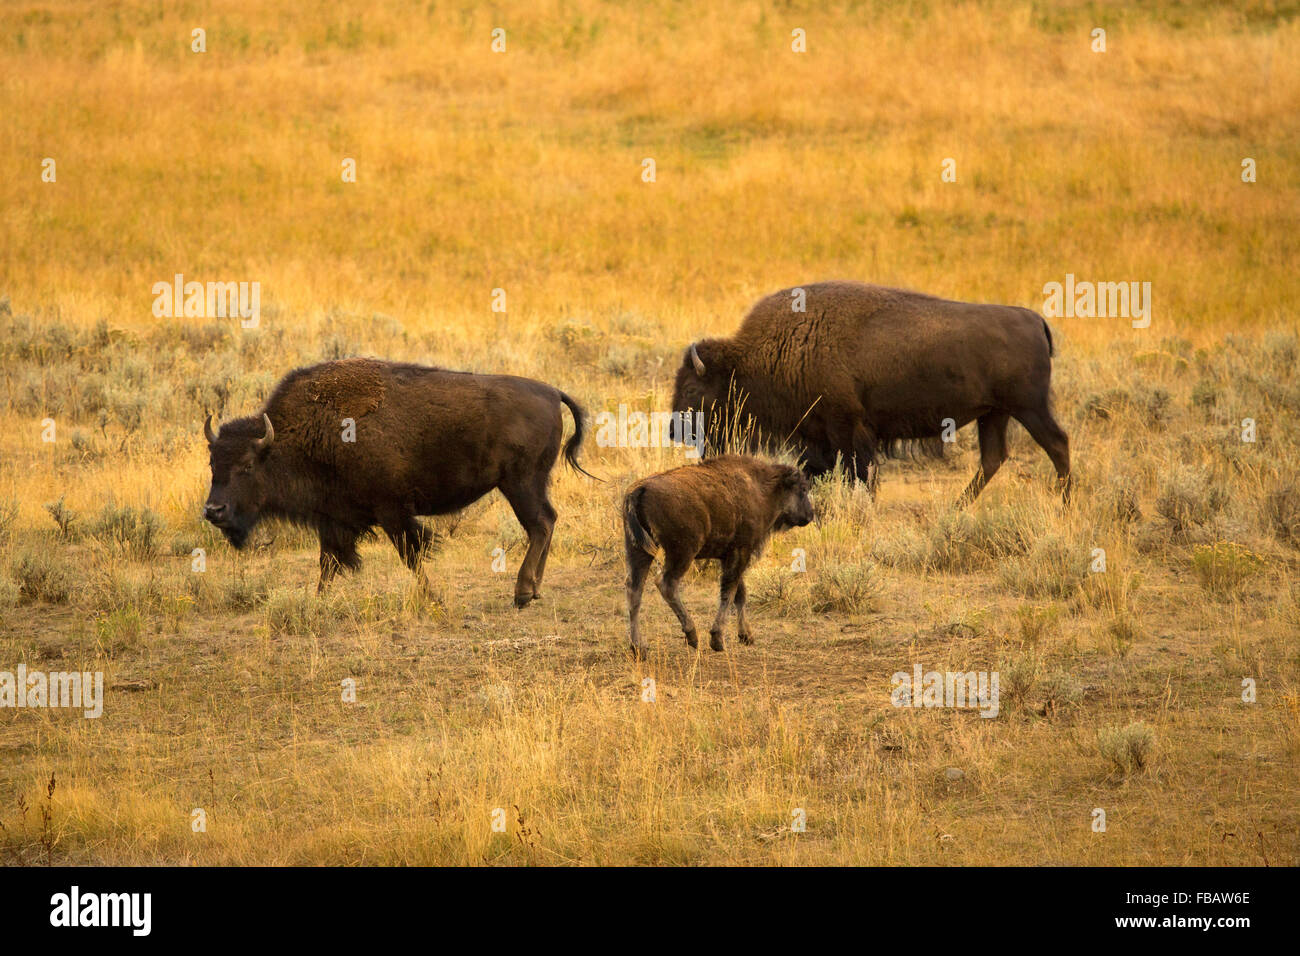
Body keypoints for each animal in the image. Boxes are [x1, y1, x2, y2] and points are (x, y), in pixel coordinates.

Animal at [202, 356, 595, 608]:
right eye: (212, 463)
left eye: (247, 465)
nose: (213, 510)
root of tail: (551, 392)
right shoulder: (333, 517)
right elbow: (328, 562)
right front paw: (317, 601)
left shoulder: (392, 512)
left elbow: (411, 556)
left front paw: (433, 599)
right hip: (530, 484)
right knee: (547, 522)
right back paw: (535, 590)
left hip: (520, 484)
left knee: (539, 524)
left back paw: (522, 594)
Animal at [621, 455, 811, 658]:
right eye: (802, 489)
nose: (809, 515)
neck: (762, 487)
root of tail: (640, 489)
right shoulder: (740, 551)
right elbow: (730, 591)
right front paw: (718, 639)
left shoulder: (728, 556)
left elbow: (740, 593)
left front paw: (746, 636)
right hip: (682, 552)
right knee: (666, 584)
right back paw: (692, 635)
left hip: (638, 550)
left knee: (634, 589)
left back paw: (638, 647)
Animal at [676, 280, 1071, 504]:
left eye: (692, 389)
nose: (675, 430)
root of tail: (1035, 320)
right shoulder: (821, 437)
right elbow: (818, 471)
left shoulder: (846, 430)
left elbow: (860, 474)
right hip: (995, 414)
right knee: (993, 458)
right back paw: (957, 508)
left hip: (1029, 408)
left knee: (1056, 444)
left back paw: (1064, 504)